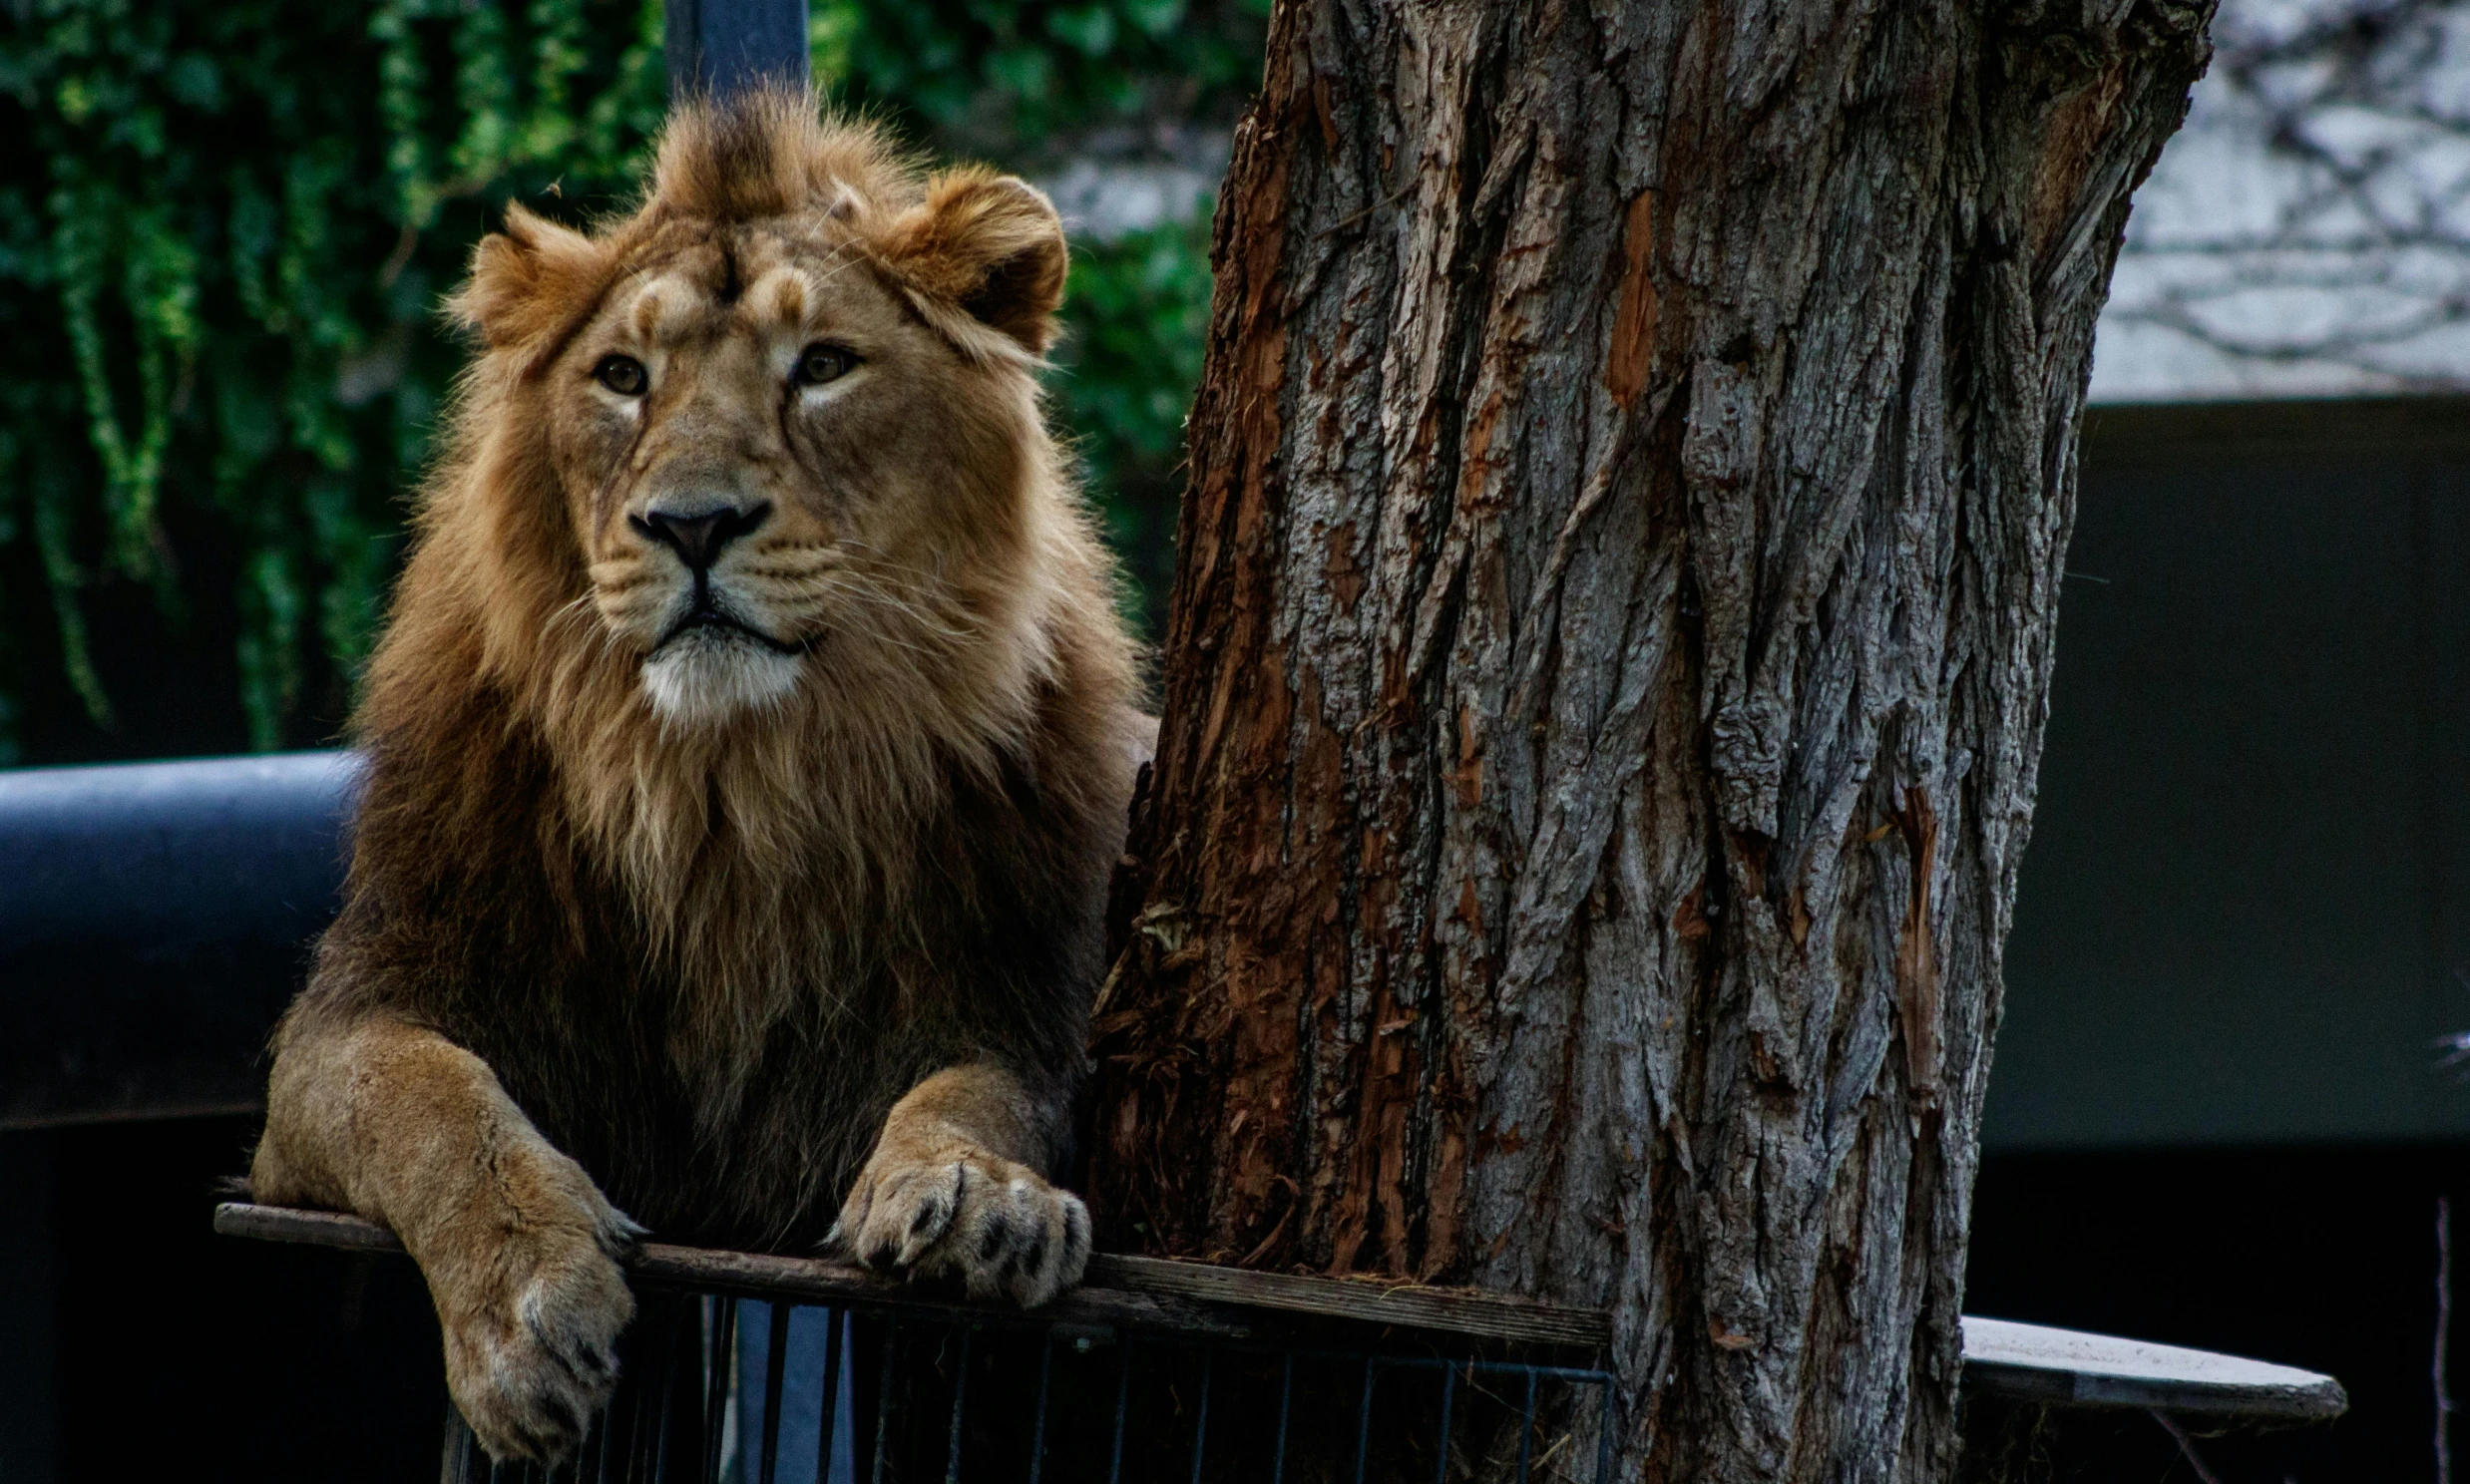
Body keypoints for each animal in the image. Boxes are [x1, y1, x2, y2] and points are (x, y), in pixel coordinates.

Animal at [240, 89, 1145, 1461]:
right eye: (623, 377)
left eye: (821, 365)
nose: (692, 523)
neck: (724, 787)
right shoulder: (356, 1017)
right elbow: (432, 1104)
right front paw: (527, 1309)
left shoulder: (1011, 998)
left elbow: (987, 1092)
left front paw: (979, 1196)